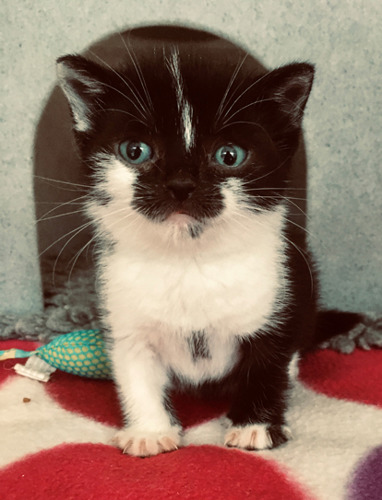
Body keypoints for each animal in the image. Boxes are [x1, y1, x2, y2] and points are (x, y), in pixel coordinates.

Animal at [56, 26, 362, 458]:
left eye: (229, 155)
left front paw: (255, 426)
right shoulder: (123, 311)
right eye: (135, 151)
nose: (181, 184)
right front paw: (149, 431)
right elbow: (135, 370)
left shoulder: (281, 295)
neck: (189, 259)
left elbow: (270, 362)